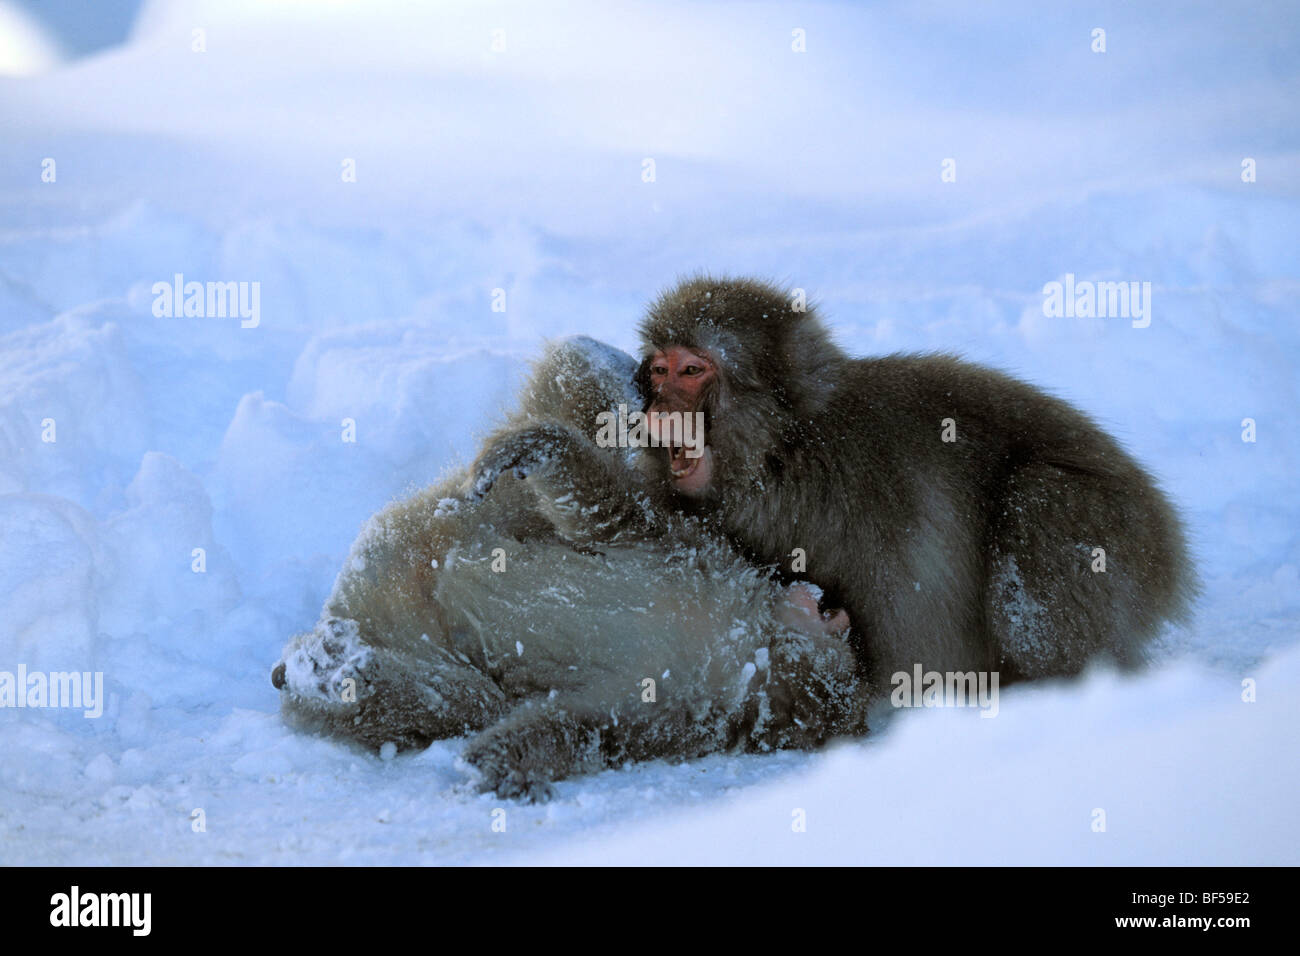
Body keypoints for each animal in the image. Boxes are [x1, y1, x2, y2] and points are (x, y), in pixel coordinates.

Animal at [270, 335, 868, 801]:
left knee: (459, 700)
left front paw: (502, 762)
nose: (833, 606)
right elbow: (606, 516)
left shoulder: (681, 711)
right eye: (834, 622)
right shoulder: (688, 549)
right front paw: (539, 449)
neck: (744, 641)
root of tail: (356, 600)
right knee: (575, 388)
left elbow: (585, 724)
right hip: (444, 524)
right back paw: (608, 374)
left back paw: (338, 679)